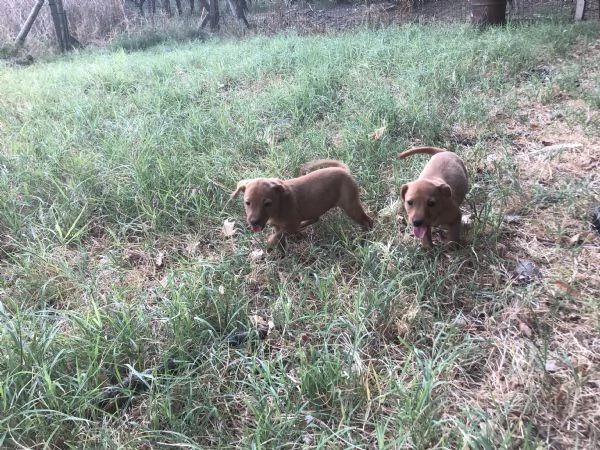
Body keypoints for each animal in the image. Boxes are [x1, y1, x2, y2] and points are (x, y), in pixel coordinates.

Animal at [232, 160, 372, 248]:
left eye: (267, 203)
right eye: (247, 203)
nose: (254, 222)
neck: (279, 205)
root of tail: (344, 171)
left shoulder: (291, 223)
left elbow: (281, 233)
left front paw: (270, 242)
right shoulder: (279, 225)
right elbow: (280, 235)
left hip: (351, 206)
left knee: (367, 221)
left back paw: (365, 238)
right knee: (315, 218)